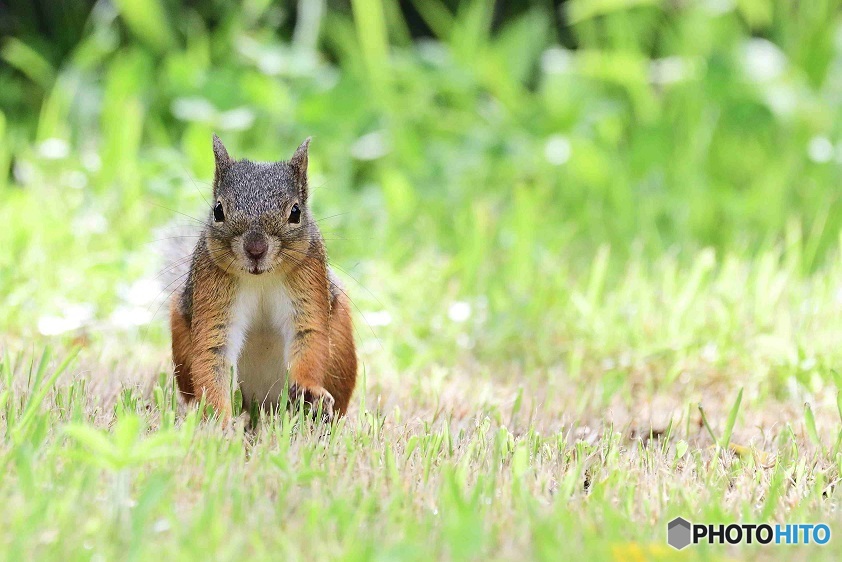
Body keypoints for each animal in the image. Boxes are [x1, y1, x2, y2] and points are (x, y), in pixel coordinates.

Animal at [169, 133, 356, 418]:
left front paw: (309, 390)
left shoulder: (310, 276)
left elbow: (309, 333)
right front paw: (217, 418)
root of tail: (264, 404)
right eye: (218, 211)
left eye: (295, 212)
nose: (255, 249)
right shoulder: (211, 284)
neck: (261, 279)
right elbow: (213, 350)